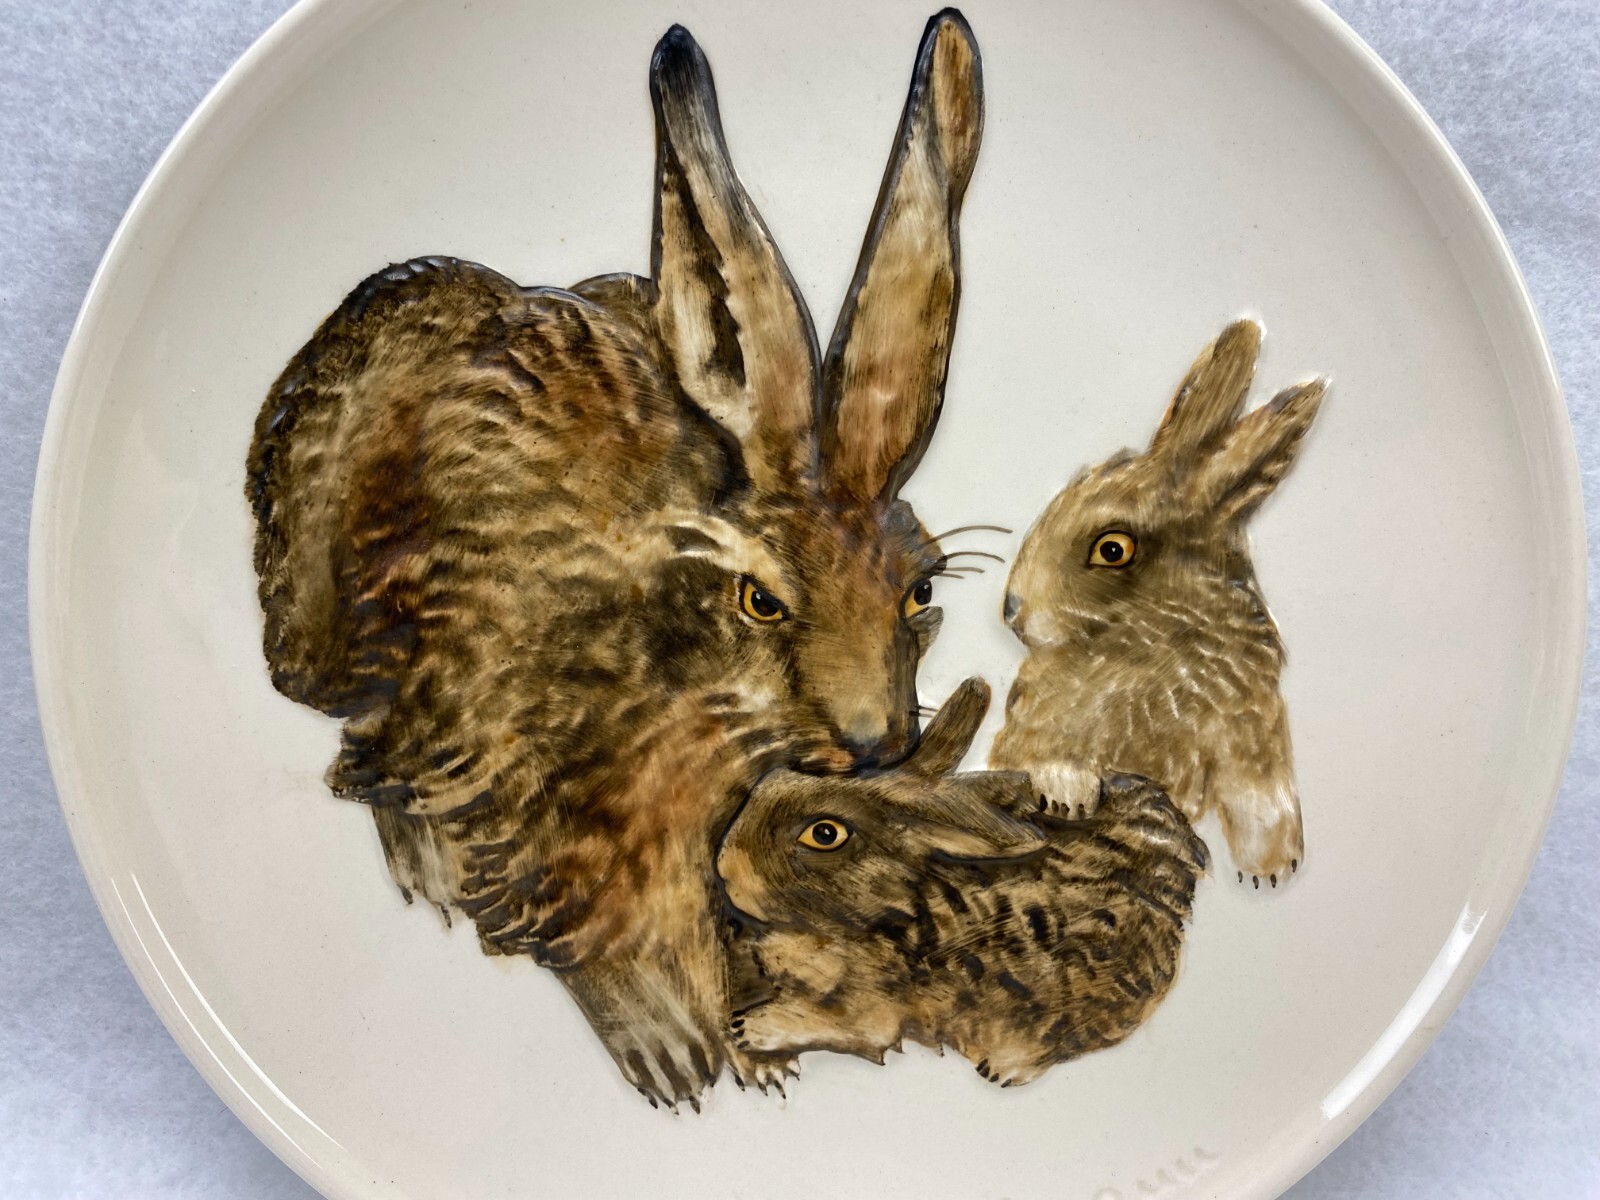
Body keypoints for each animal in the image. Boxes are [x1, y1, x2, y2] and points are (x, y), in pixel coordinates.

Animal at [718, 679, 1208, 1086]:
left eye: (825, 834)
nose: (724, 869)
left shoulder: (880, 1005)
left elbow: (836, 1025)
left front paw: (751, 1027)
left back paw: (1004, 1069)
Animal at [991, 319, 1326, 888]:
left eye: (1113, 549)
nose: (1012, 612)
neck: (1155, 643)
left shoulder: (1254, 733)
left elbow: (1262, 801)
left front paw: (1271, 869)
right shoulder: (1031, 728)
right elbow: (1038, 756)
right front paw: (1066, 792)